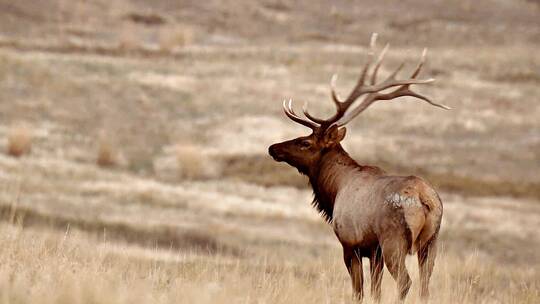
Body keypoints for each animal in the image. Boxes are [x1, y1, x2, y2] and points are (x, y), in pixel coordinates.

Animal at [268, 33, 450, 302]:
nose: (273, 148)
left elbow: (359, 290)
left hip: (394, 241)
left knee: (405, 282)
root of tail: (424, 199)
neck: (334, 191)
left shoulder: (351, 243)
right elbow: (375, 291)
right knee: (425, 286)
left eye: (305, 142)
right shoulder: (374, 251)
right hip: (431, 241)